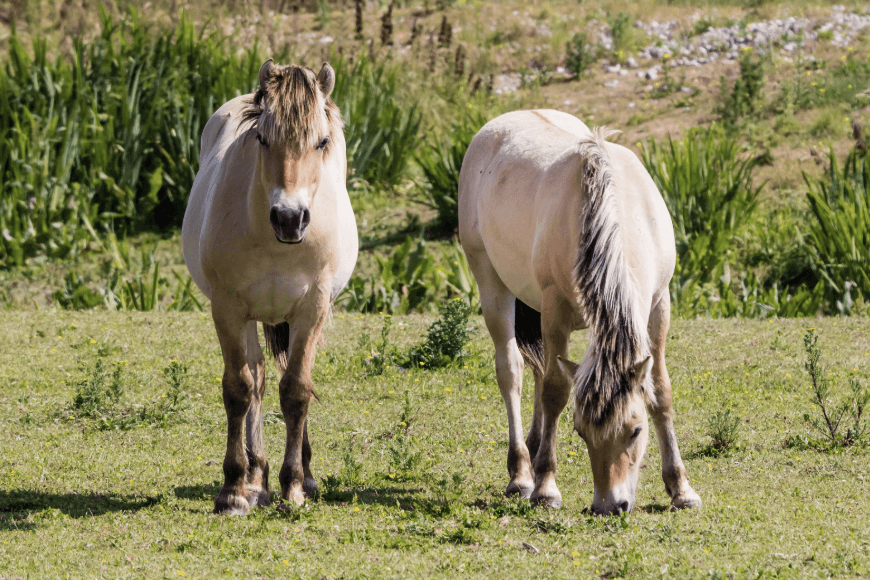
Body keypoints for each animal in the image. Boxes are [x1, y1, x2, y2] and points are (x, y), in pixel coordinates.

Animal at [182, 59, 358, 515]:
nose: (289, 218)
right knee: (258, 377)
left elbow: (297, 390)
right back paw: (255, 477)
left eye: (322, 141)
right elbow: (239, 389)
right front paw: (233, 489)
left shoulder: (312, 309)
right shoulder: (228, 308)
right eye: (262, 138)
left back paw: (303, 476)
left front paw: (293, 486)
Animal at [458, 110, 701, 515]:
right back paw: (522, 472)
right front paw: (545, 488)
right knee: (513, 372)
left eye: (635, 430)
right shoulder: (553, 308)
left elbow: (661, 391)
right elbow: (556, 392)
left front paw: (681, 489)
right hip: (492, 285)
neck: (614, 210)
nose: (609, 505)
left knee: (538, 371)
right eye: (580, 431)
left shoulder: (658, 304)